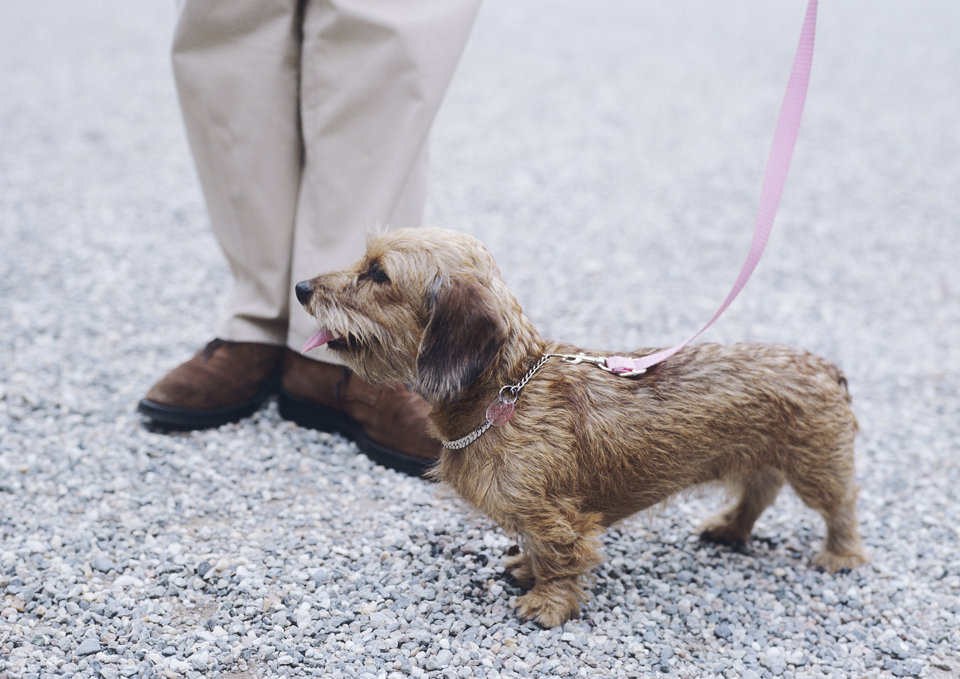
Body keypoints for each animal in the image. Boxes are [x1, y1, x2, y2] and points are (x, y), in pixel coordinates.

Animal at [296, 227, 868, 628]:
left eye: (378, 274)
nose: (301, 287)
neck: (507, 391)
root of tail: (826, 366)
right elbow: (533, 548)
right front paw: (526, 570)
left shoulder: (560, 519)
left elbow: (559, 557)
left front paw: (547, 604)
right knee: (759, 490)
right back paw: (730, 527)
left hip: (817, 466)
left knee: (840, 507)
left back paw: (840, 555)